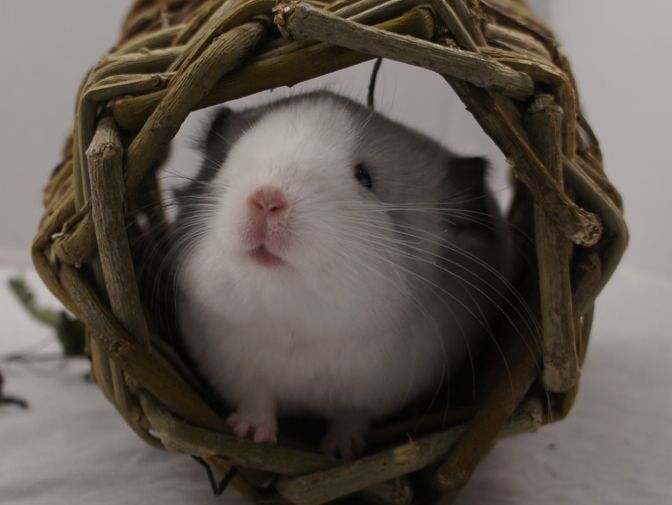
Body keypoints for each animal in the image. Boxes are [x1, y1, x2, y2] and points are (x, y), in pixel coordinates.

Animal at [171, 91, 514, 459]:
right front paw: (250, 435)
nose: (267, 199)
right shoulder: (239, 372)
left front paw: (340, 451)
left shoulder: (379, 392)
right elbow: (257, 400)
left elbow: (352, 415)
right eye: (231, 157)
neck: (297, 329)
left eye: (365, 177)